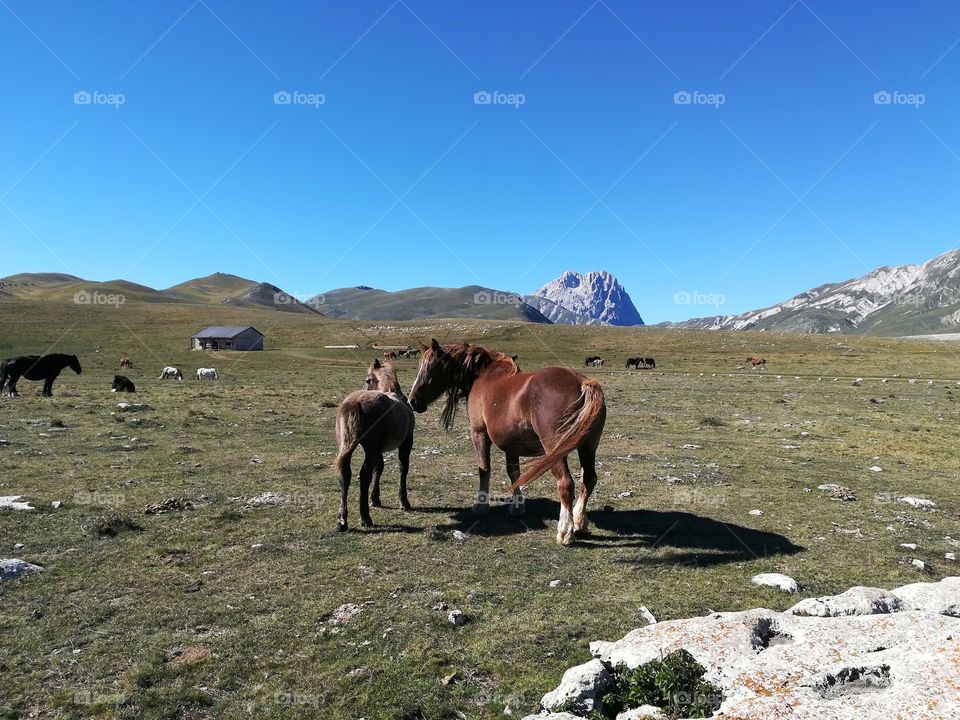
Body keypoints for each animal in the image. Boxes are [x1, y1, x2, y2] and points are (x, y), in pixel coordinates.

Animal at [336, 358, 414, 528]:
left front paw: (375, 498)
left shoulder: (379, 449)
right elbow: (402, 468)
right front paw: (404, 501)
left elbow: (379, 468)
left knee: (345, 475)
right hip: (370, 450)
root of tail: (356, 402)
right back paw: (365, 517)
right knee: (364, 475)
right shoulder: (406, 442)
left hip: (349, 448)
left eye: (367, 380)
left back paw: (342, 521)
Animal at [406, 340, 604, 544]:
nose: (412, 401)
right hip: (588, 447)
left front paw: (481, 505)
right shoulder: (511, 443)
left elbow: (484, 469)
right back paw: (580, 523)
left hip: (556, 450)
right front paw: (517, 506)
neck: (483, 376)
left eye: (430, 367)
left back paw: (565, 531)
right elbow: (514, 473)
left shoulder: (479, 434)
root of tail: (583, 383)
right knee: (588, 480)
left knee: (565, 483)